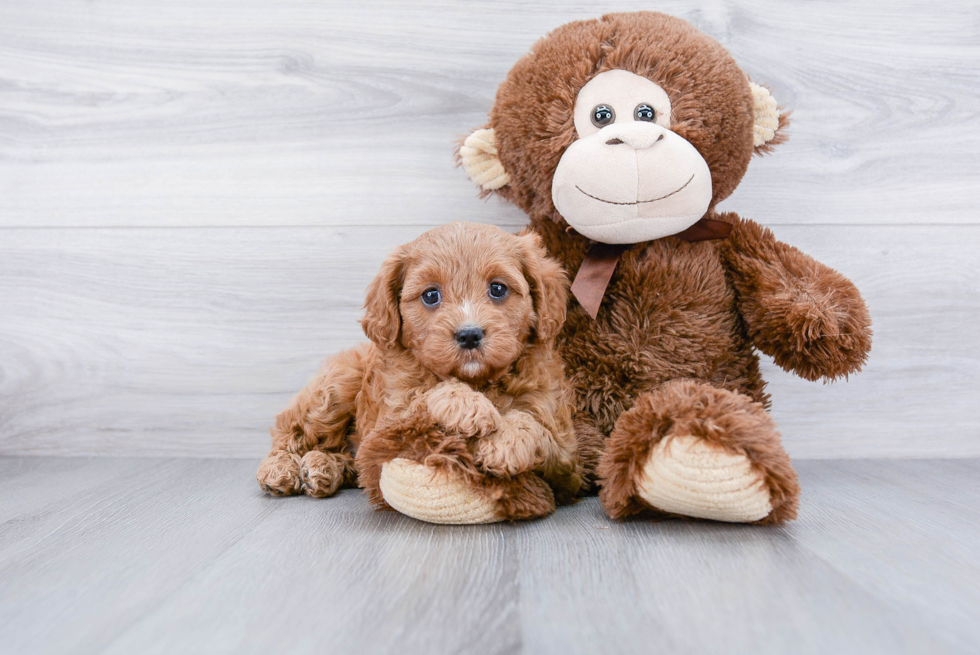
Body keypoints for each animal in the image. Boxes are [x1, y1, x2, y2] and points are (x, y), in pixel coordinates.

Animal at [256, 222, 584, 524]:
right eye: (430, 296)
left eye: (498, 289)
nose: (469, 335)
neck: (479, 380)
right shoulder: (391, 418)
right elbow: (426, 393)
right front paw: (469, 407)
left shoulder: (567, 461)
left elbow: (536, 427)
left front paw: (506, 443)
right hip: (336, 388)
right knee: (291, 431)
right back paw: (282, 469)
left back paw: (322, 468)